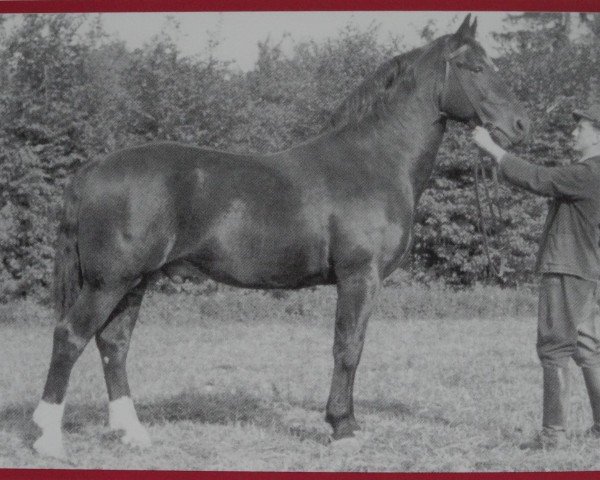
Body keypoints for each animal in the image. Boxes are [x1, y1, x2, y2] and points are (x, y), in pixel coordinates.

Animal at [32, 15, 528, 458]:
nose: (521, 125)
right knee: (70, 337)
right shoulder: (360, 278)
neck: (374, 161)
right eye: (475, 67)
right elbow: (348, 347)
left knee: (113, 344)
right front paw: (343, 429)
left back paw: (131, 433)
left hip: (134, 282)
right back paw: (48, 439)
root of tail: (96, 167)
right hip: (109, 283)